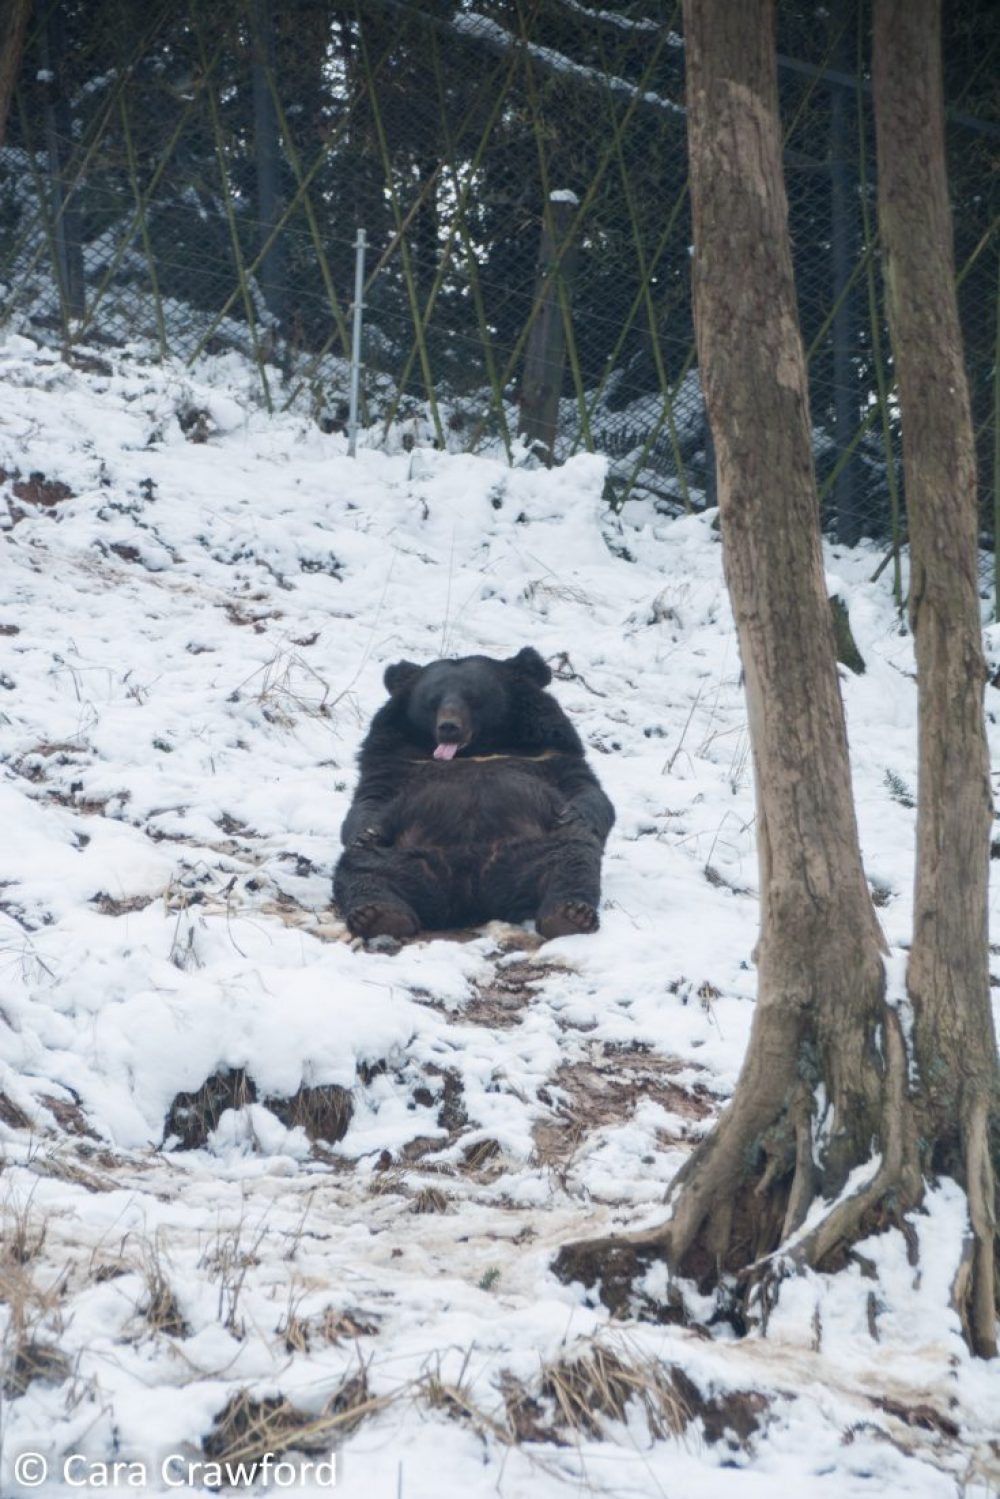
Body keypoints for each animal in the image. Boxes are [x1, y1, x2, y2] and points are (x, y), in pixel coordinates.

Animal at [335, 650, 614, 941]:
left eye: (473, 697)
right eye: (433, 701)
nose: (448, 727)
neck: (476, 749)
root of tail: (471, 896)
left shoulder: (549, 752)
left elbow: (585, 788)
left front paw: (573, 815)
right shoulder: (395, 757)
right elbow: (371, 798)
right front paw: (368, 831)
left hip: (537, 849)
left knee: (573, 858)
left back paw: (569, 914)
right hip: (400, 856)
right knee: (365, 868)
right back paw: (378, 915)